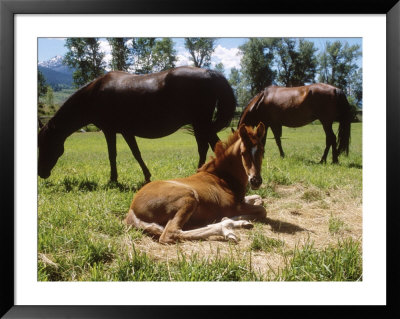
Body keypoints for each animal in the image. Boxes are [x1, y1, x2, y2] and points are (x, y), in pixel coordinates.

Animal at [37, 66, 234, 182]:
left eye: (45, 145)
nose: (41, 172)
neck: (94, 94)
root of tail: (211, 73)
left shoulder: (110, 131)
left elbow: (113, 155)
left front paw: (113, 179)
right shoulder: (125, 131)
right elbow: (136, 153)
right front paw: (146, 176)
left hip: (201, 123)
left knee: (212, 145)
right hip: (200, 124)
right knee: (205, 146)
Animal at [125, 123, 268, 245]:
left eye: (262, 151)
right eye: (243, 153)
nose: (255, 181)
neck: (222, 177)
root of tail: (132, 210)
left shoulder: (241, 200)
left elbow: (259, 199)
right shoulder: (233, 206)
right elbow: (262, 210)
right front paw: (227, 218)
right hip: (188, 197)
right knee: (170, 233)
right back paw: (226, 227)